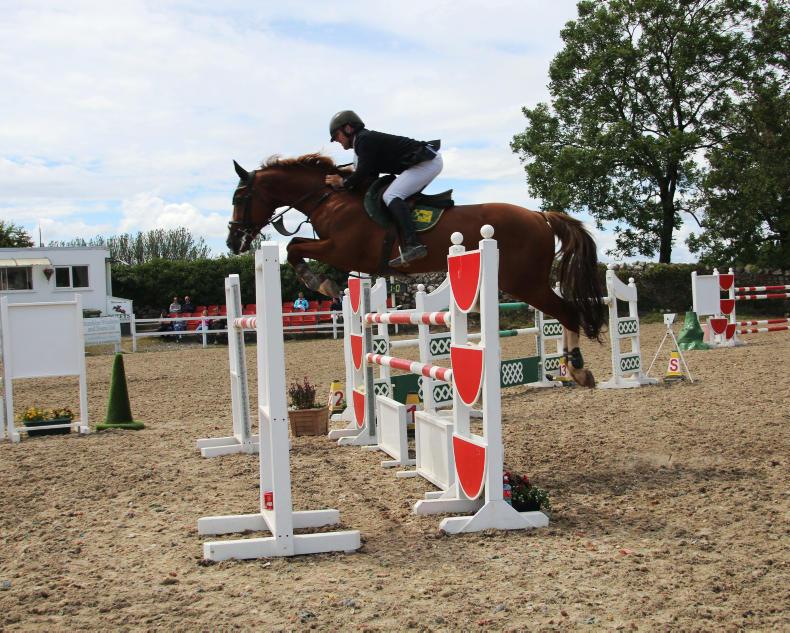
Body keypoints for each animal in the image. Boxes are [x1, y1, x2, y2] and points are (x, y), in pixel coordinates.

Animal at [227, 153, 605, 387]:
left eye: (240, 197)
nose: (233, 242)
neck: (329, 198)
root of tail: (540, 216)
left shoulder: (342, 250)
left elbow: (294, 247)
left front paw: (320, 284)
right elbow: (296, 244)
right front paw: (324, 283)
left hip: (525, 283)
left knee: (568, 312)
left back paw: (578, 371)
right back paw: (568, 370)